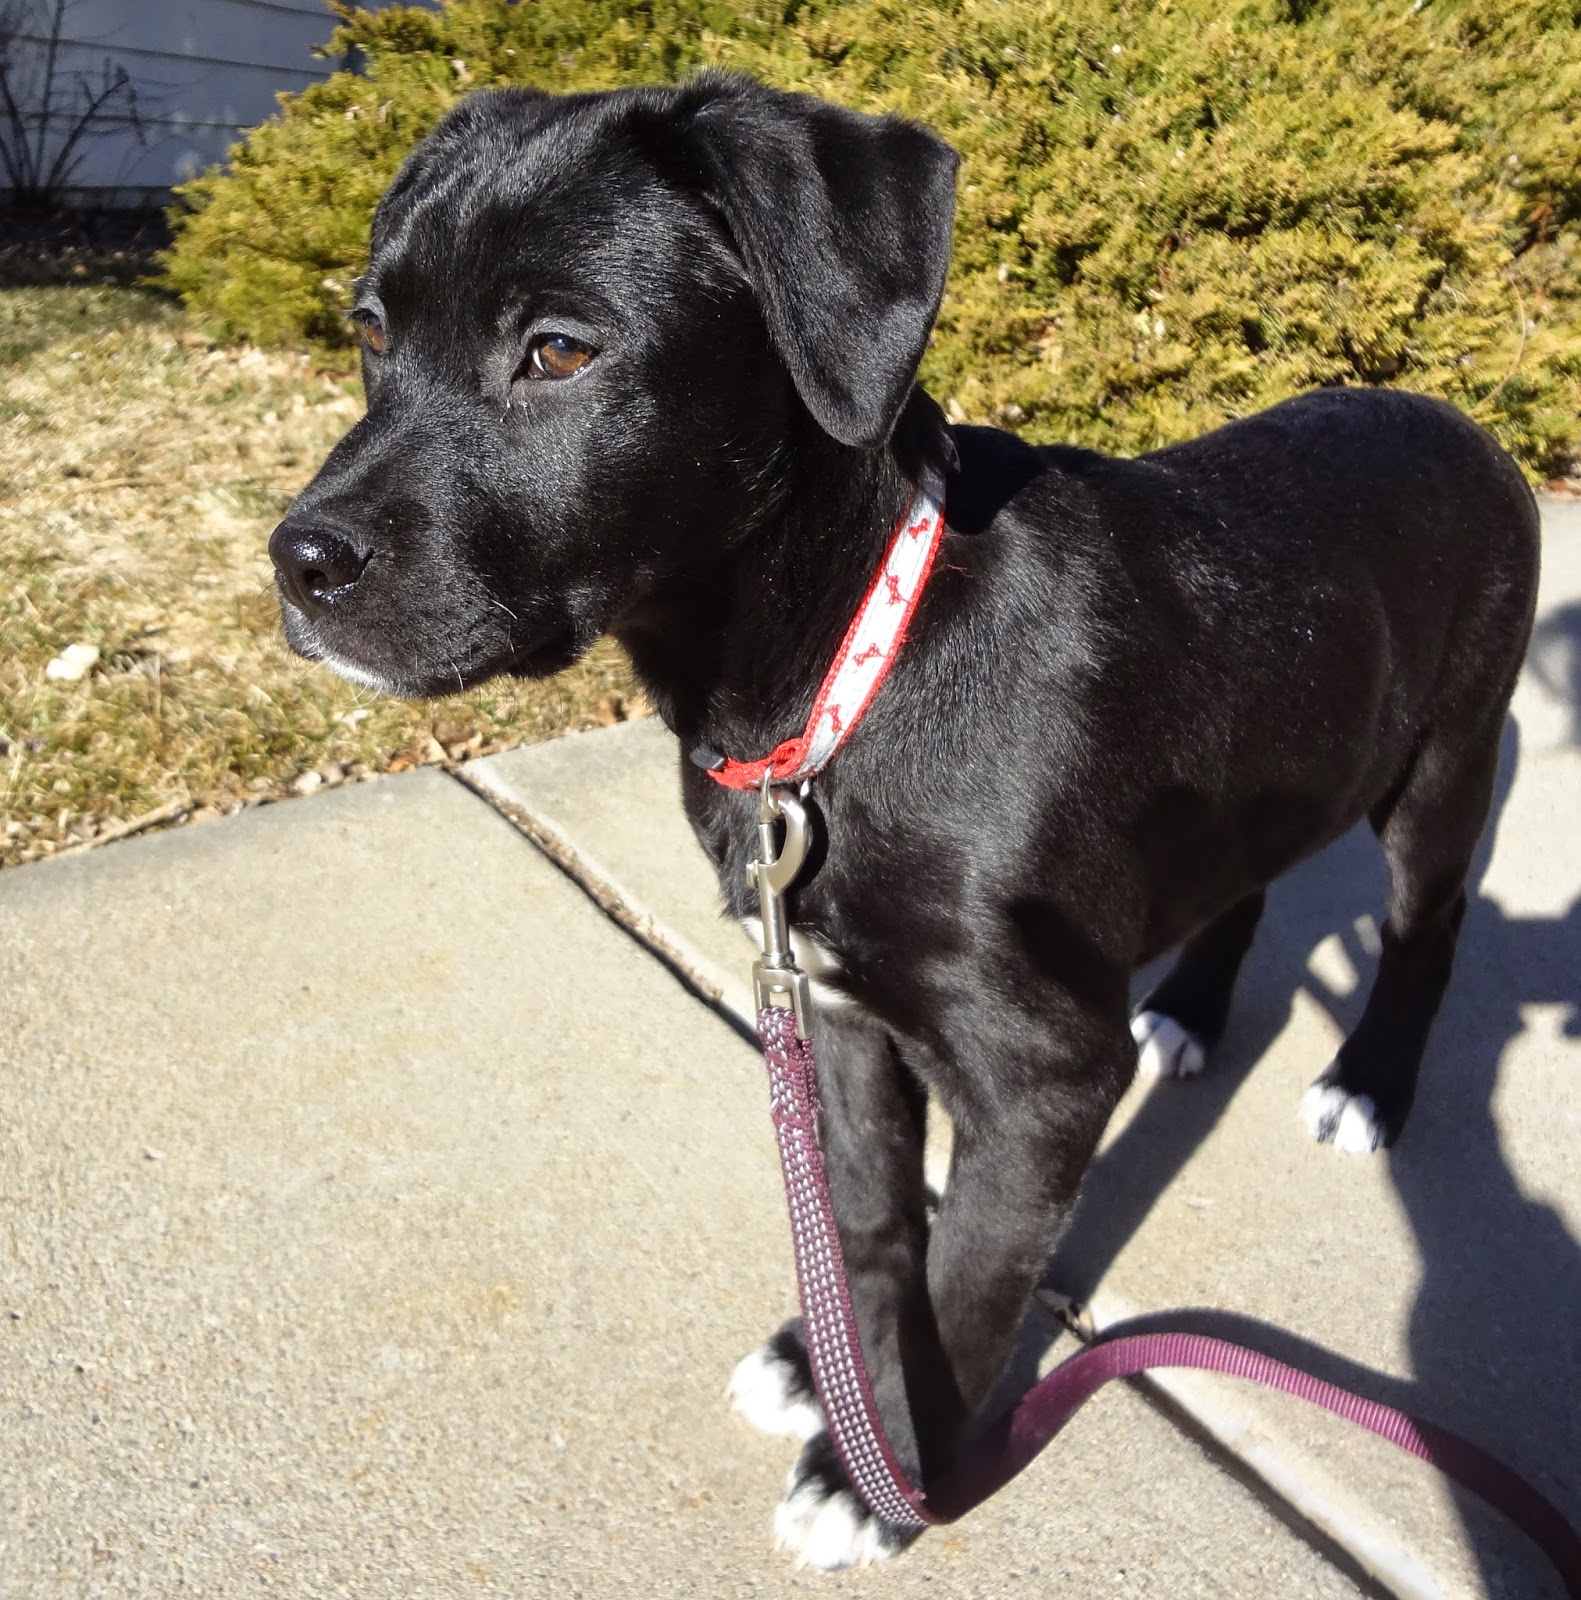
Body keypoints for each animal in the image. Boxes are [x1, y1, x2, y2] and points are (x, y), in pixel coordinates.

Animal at [268, 73, 1540, 1569]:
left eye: (560, 350)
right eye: (369, 330)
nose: (297, 563)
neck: (848, 668)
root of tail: (1466, 423)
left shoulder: (1044, 1073)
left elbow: (970, 1273)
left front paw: (884, 1471)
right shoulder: (838, 1007)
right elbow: (872, 1221)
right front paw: (828, 1364)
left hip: (1447, 763)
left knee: (1425, 929)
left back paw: (1367, 1082)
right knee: (1247, 874)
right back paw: (1191, 1013)